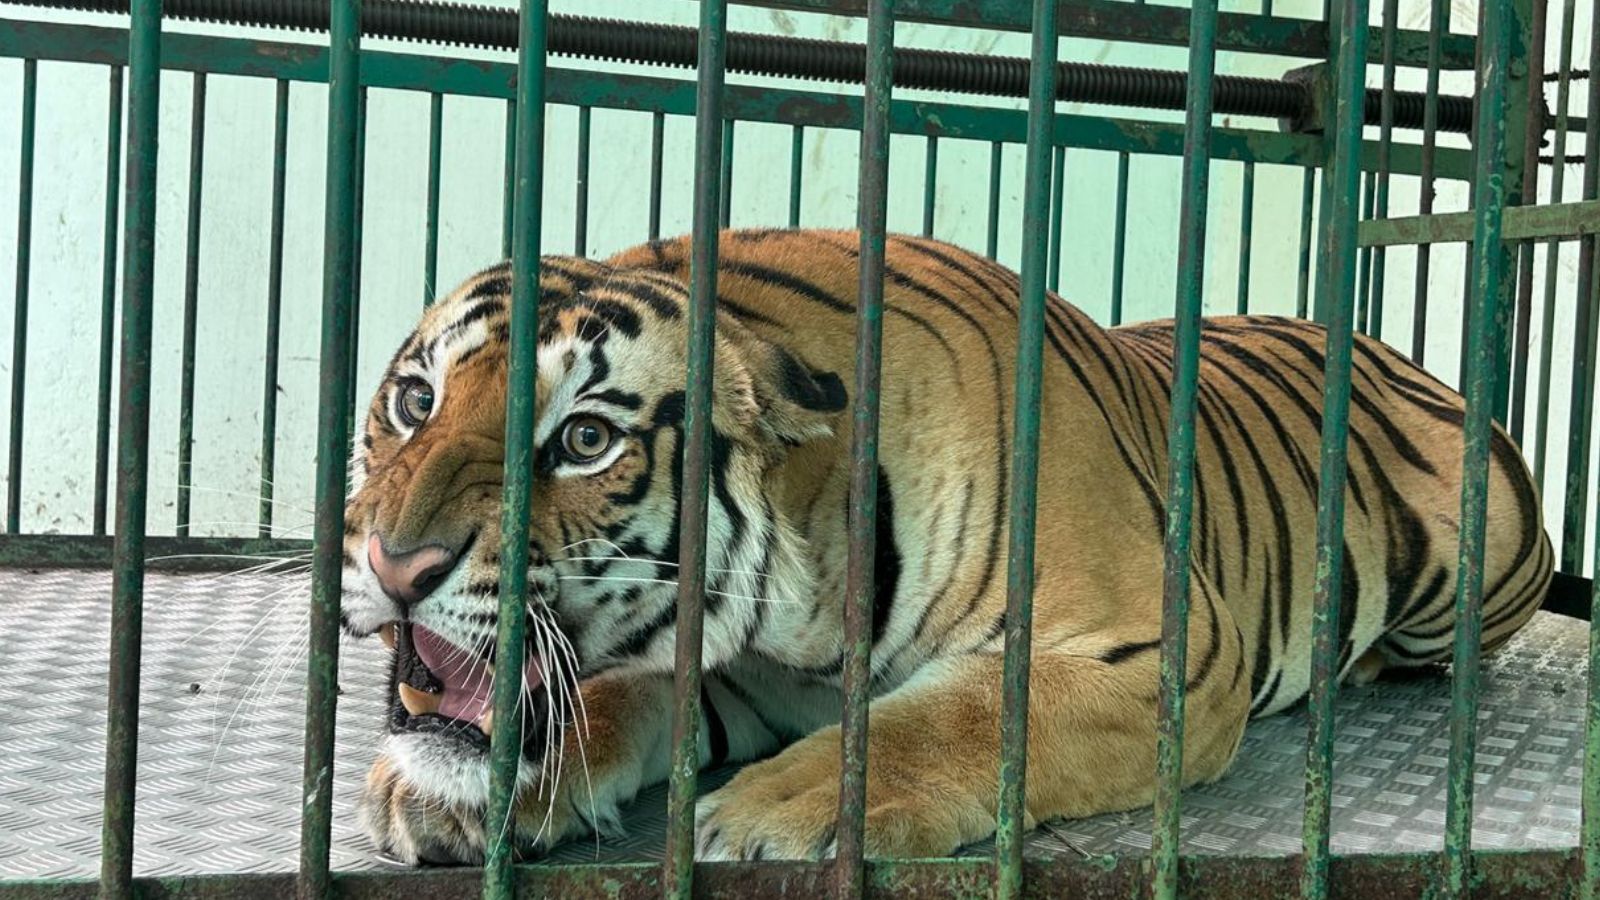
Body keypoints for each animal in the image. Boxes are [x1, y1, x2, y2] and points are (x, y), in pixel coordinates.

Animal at [340, 227, 1574, 865]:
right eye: (414, 401)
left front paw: (787, 808)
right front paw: (456, 787)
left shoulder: (1166, 652)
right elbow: (615, 688)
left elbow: (968, 712)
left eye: (585, 439)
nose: (397, 566)